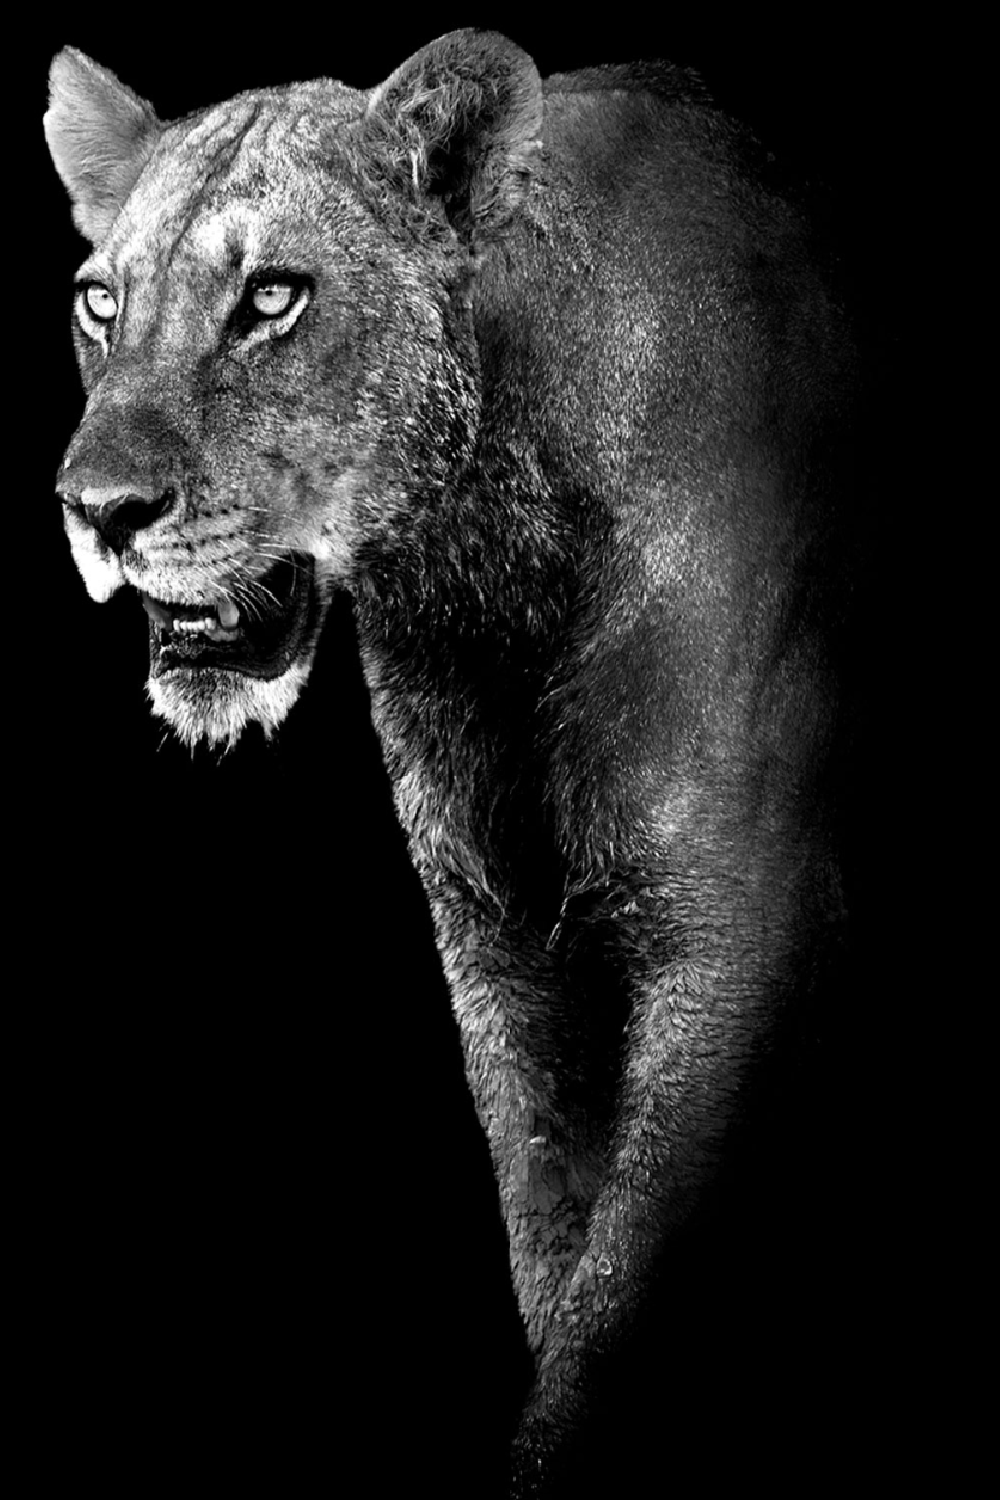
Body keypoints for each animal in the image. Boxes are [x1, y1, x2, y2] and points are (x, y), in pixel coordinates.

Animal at [46, 30, 858, 1496]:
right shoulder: (499, 953)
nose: (98, 510)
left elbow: (614, 1302)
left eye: (272, 296)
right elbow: (553, 1238)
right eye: (99, 301)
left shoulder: (732, 944)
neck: (483, 582)